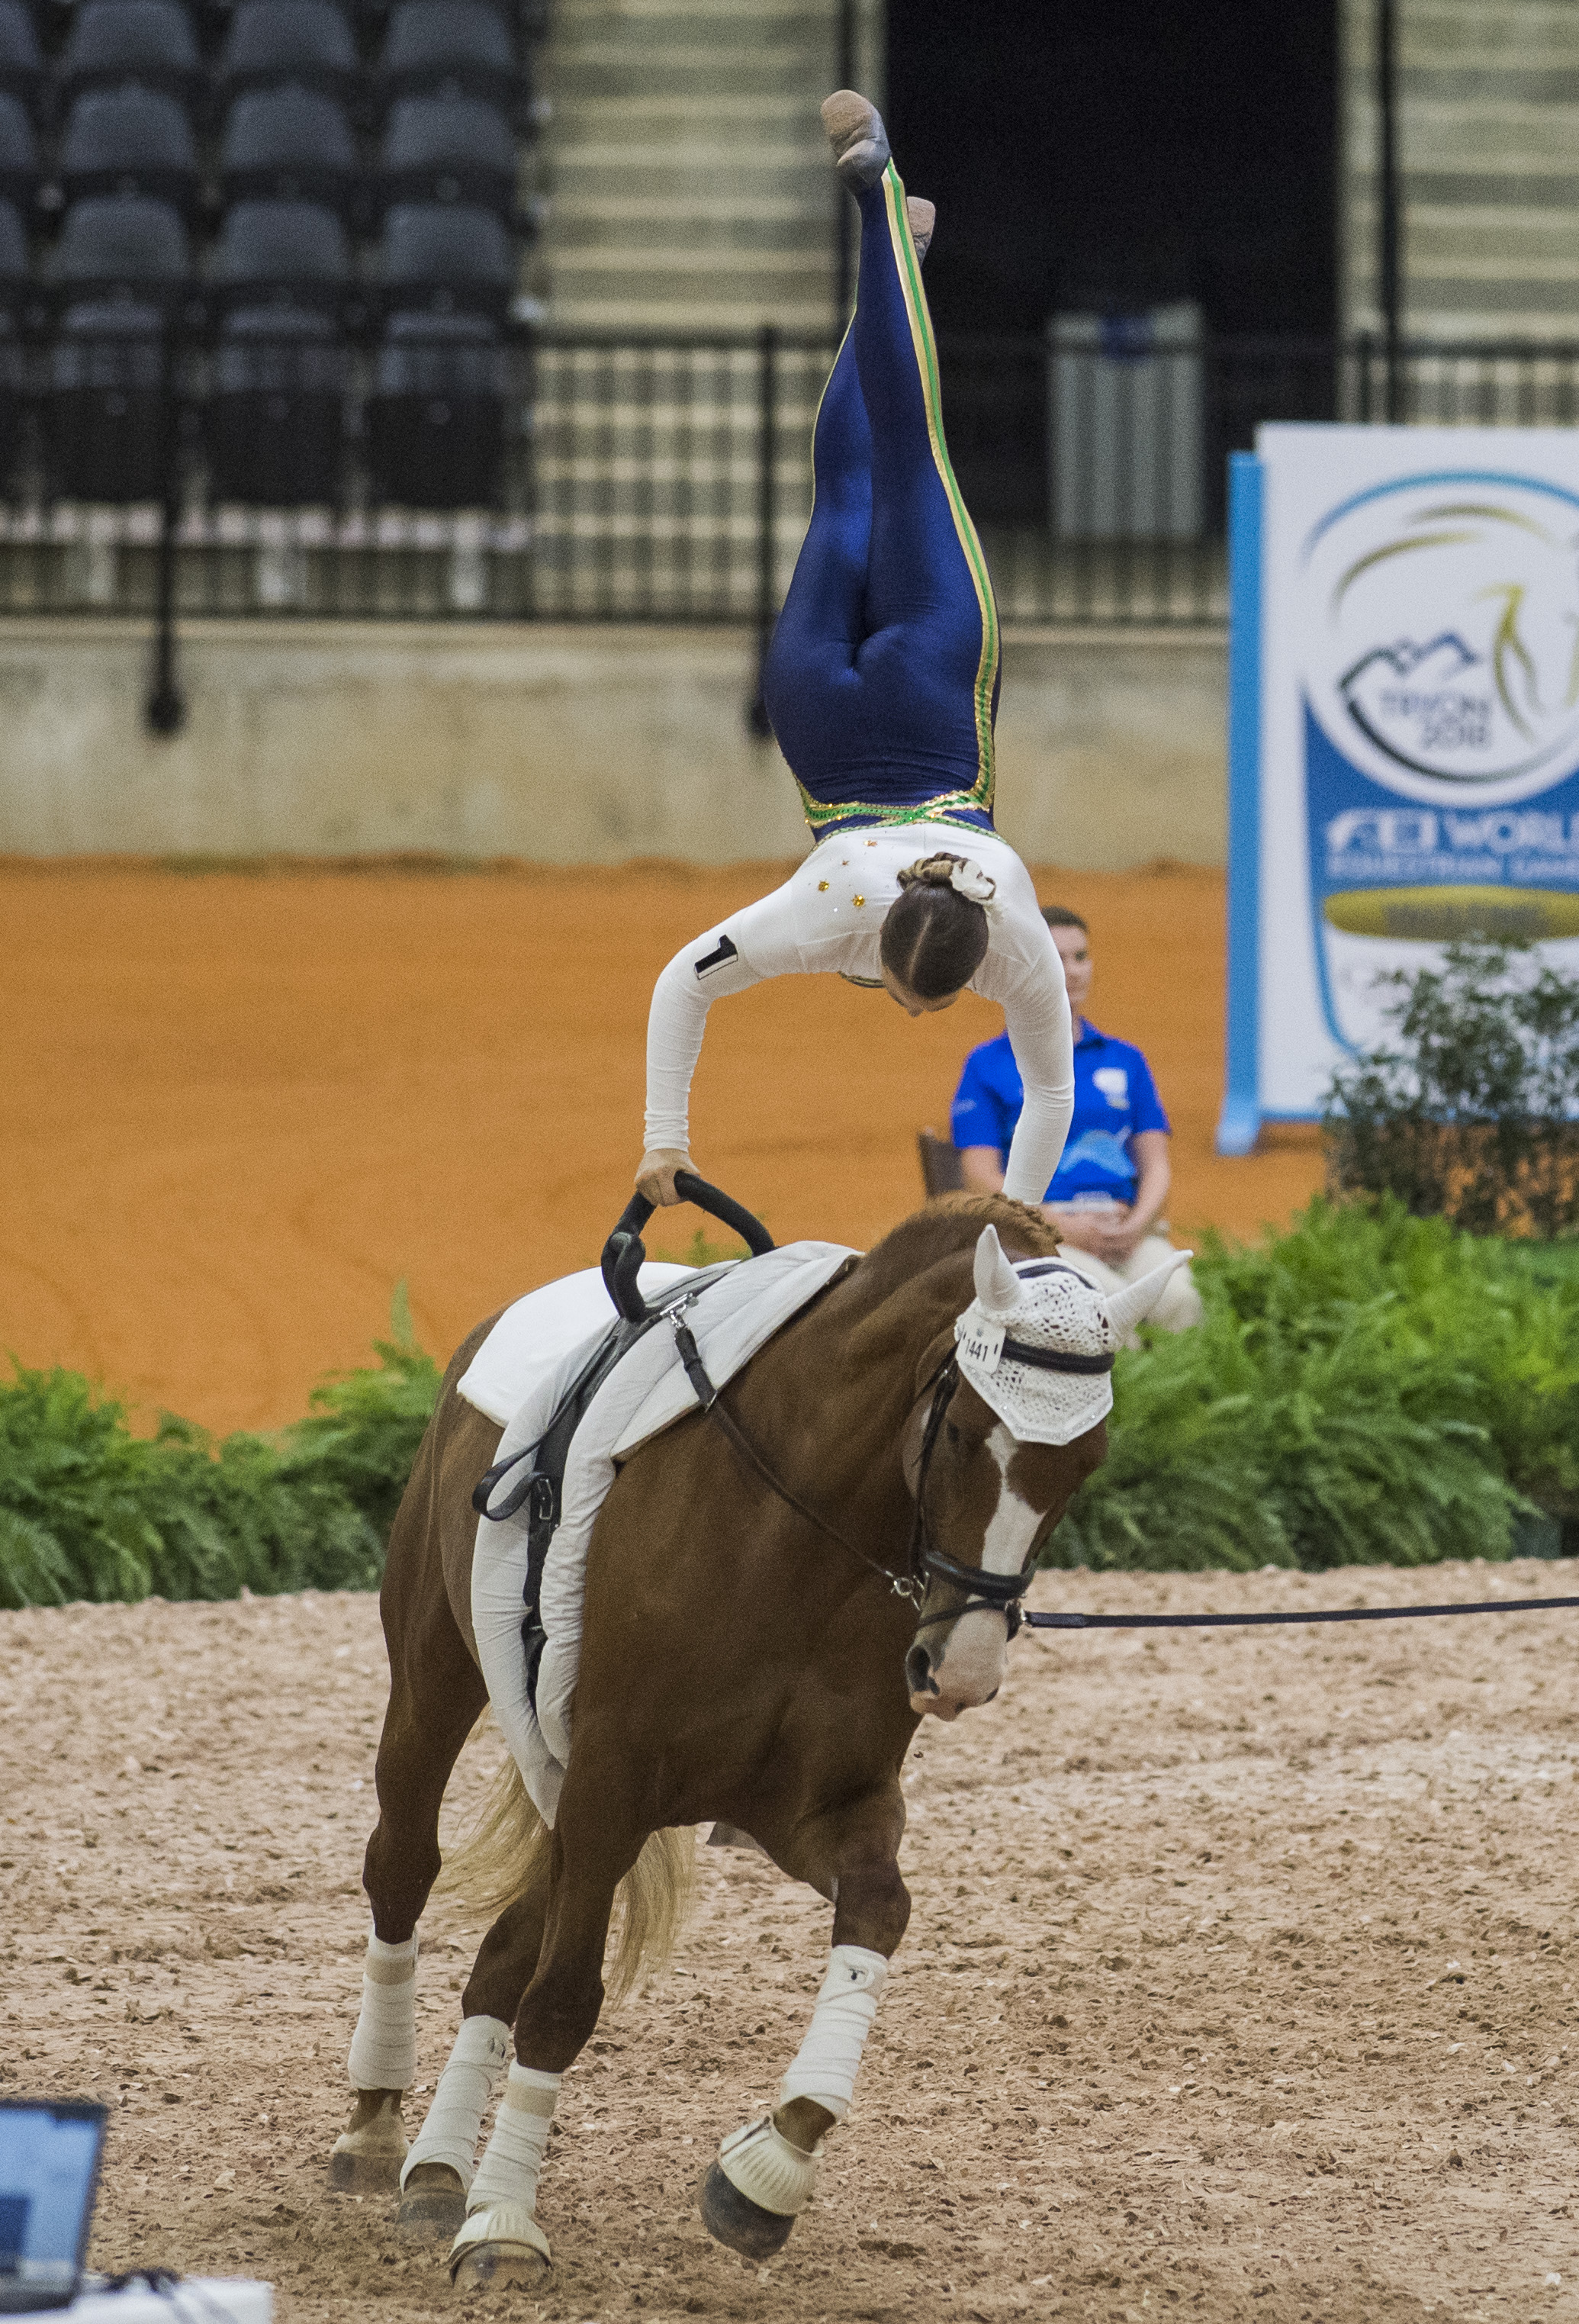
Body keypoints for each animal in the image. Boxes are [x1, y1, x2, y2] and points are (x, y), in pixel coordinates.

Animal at [327, 1199, 1179, 2287]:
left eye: (1089, 1459)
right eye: (964, 1433)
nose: (963, 1667)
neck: (800, 1532)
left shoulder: (816, 1805)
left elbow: (879, 1911)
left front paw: (765, 2173)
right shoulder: (611, 1785)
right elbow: (562, 2000)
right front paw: (507, 2227)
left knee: (500, 1951)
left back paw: (438, 2171)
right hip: (438, 1679)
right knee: (403, 1864)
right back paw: (379, 2129)